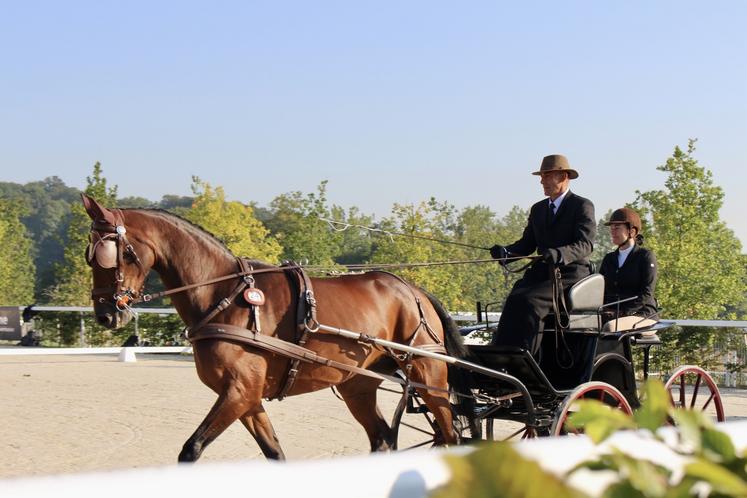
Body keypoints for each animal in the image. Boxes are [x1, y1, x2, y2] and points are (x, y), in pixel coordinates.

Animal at [80, 193, 468, 462]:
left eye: (116, 255)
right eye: (89, 257)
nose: (106, 314)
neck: (222, 294)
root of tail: (412, 290)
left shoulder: (239, 392)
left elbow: (191, 449)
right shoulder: (247, 398)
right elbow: (274, 453)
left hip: (428, 374)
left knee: (450, 435)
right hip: (357, 384)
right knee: (383, 438)